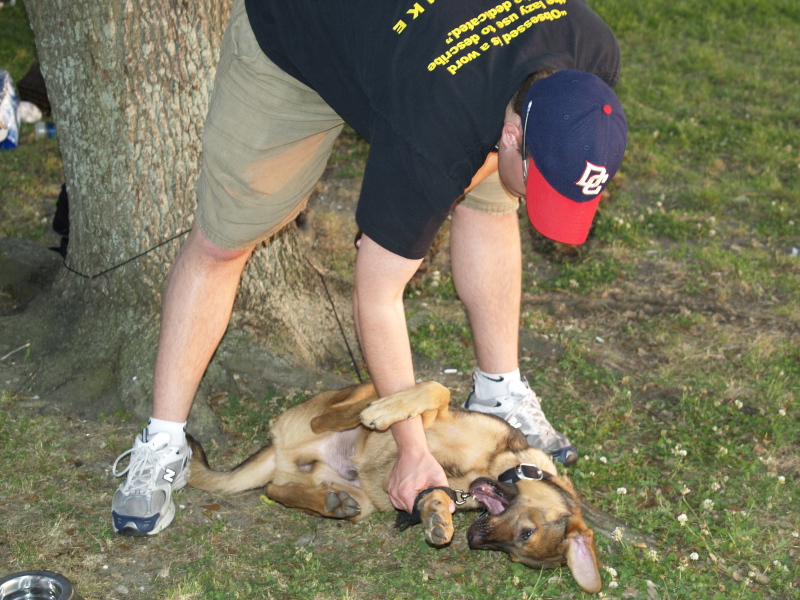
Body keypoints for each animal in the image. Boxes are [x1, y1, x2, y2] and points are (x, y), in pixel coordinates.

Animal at [186, 382, 600, 592]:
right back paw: (365, 412)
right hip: (347, 396)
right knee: (335, 413)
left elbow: (434, 494)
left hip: (353, 495)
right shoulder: (438, 417)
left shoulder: (433, 482)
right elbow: (437, 389)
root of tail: (279, 450)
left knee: (275, 489)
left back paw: (332, 502)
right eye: (527, 533)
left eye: (513, 551)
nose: (474, 538)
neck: (491, 464)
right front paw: (388, 411)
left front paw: (436, 517)